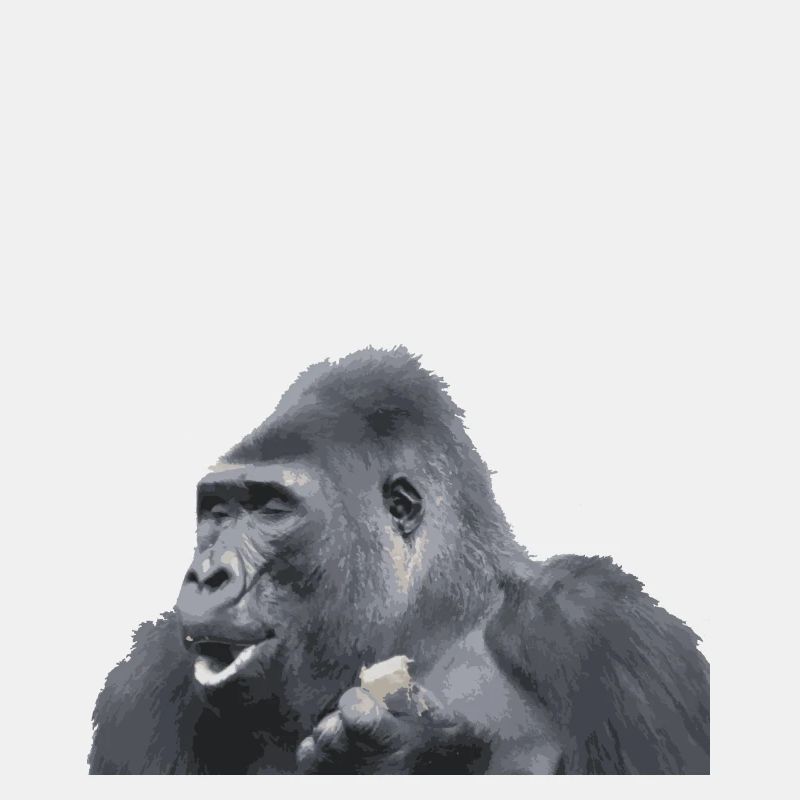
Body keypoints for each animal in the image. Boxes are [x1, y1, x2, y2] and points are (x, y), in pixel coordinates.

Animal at [89, 346, 709, 774]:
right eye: (215, 511)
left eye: (271, 508)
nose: (205, 575)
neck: (434, 622)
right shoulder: (142, 683)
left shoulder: (607, 629)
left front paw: (415, 751)